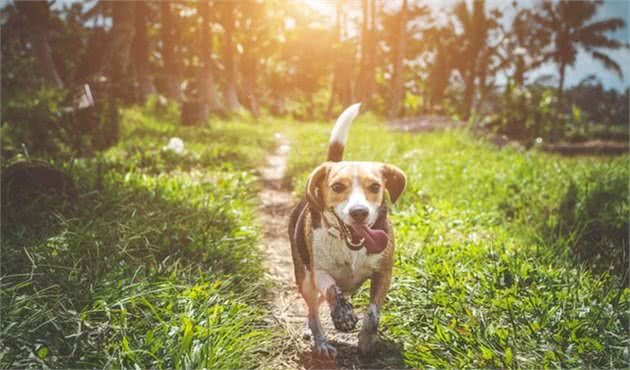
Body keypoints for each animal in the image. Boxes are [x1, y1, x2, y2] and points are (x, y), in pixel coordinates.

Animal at [288, 103, 408, 358]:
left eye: (375, 187)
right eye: (337, 187)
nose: (359, 212)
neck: (349, 246)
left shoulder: (384, 273)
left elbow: (373, 312)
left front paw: (366, 340)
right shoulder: (319, 272)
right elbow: (333, 290)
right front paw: (343, 315)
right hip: (304, 279)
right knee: (314, 310)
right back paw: (320, 341)